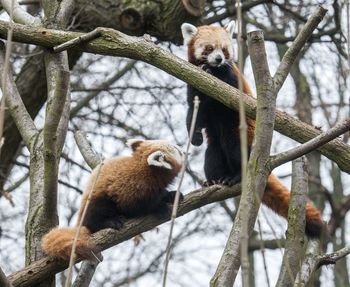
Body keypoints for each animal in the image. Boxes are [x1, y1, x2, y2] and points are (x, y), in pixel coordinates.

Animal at [41, 140, 185, 260]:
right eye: (175, 148)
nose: (183, 149)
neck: (146, 169)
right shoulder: (132, 186)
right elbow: (137, 206)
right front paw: (160, 207)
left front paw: (172, 195)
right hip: (96, 201)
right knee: (95, 215)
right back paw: (111, 221)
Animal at [182, 21, 324, 238]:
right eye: (209, 48)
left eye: (224, 49)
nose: (219, 59)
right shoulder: (193, 84)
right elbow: (195, 113)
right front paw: (195, 136)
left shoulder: (232, 82)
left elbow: (231, 90)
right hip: (215, 151)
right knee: (211, 155)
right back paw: (214, 180)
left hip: (240, 137)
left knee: (235, 148)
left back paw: (235, 176)